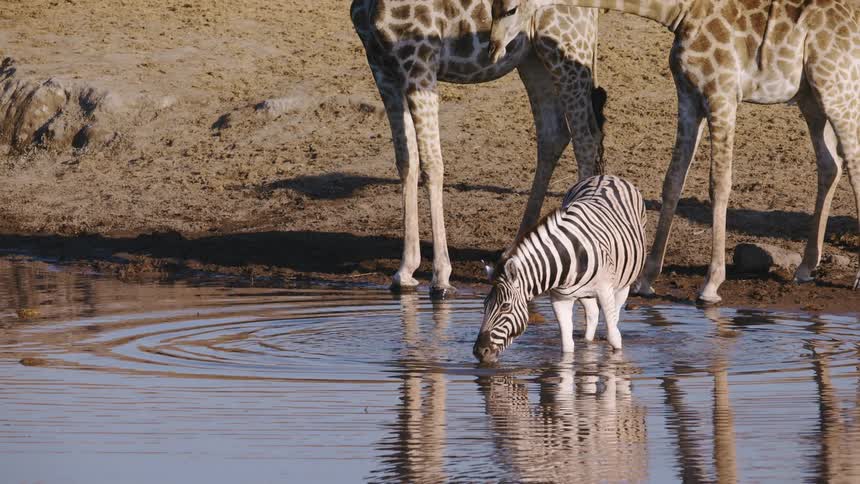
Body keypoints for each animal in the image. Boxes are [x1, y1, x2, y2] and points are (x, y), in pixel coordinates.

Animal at [351, 0, 607, 298]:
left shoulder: (420, 63)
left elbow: (432, 163)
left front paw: (441, 276)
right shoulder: (382, 66)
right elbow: (406, 161)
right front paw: (405, 271)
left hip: (568, 48)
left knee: (585, 136)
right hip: (532, 57)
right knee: (554, 133)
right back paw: (515, 249)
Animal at [473, 175, 647, 364]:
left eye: (505, 306)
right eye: (484, 304)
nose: (479, 351)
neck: (568, 257)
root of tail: (605, 176)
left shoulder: (604, 291)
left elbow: (614, 338)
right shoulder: (560, 299)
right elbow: (567, 346)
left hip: (623, 284)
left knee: (615, 314)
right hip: (584, 293)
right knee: (592, 314)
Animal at [490, 0, 860, 302]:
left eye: (509, 9)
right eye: (492, 7)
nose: (494, 49)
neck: (682, 11)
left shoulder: (722, 94)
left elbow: (719, 184)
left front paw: (711, 284)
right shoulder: (689, 96)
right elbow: (673, 180)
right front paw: (647, 278)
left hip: (837, 90)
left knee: (852, 162)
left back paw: (854, 279)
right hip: (811, 98)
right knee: (830, 164)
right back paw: (806, 267)